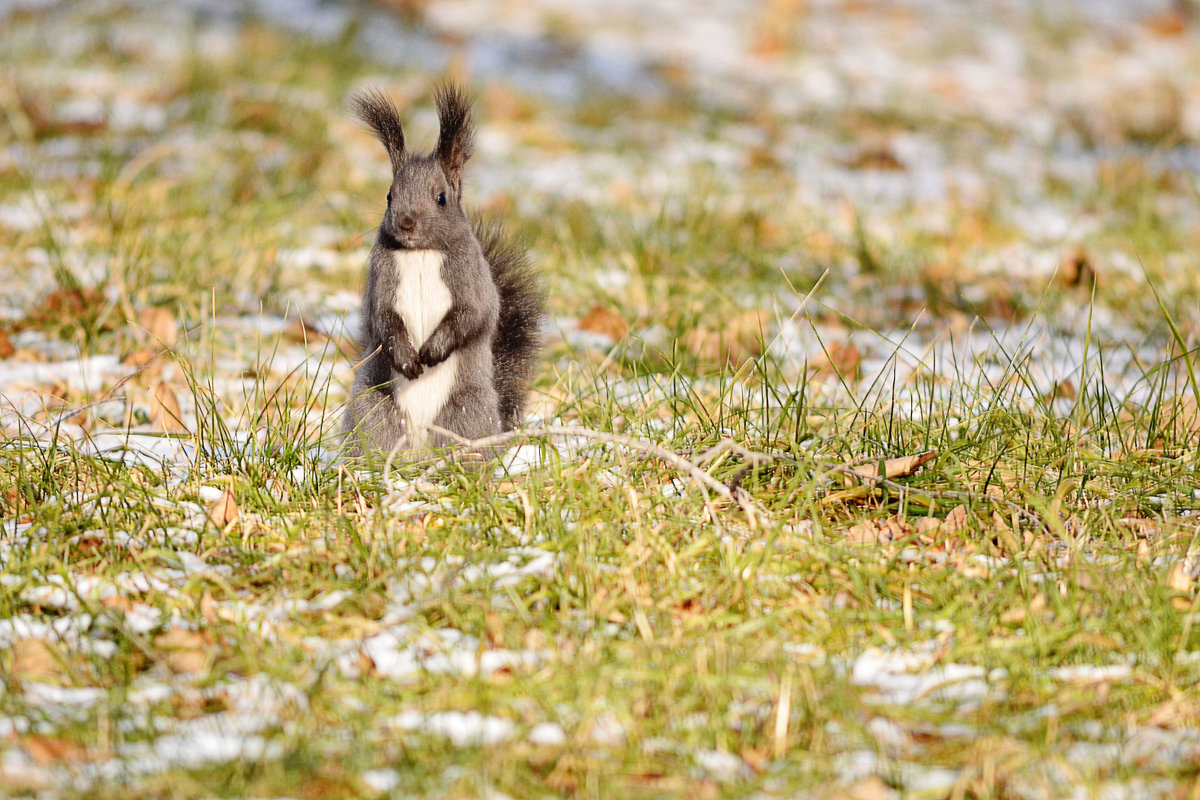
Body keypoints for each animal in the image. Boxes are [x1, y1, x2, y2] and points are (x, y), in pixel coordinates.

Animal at [340, 85, 542, 455]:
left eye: (441, 198)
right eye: (389, 196)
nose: (406, 223)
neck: (421, 253)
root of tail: (419, 451)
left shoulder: (470, 278)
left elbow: (471, 315)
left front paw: (433, 351)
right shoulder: (382, 280)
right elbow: (383, 318)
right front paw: (407, 358)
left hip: (465, 414)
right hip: (372, 408)